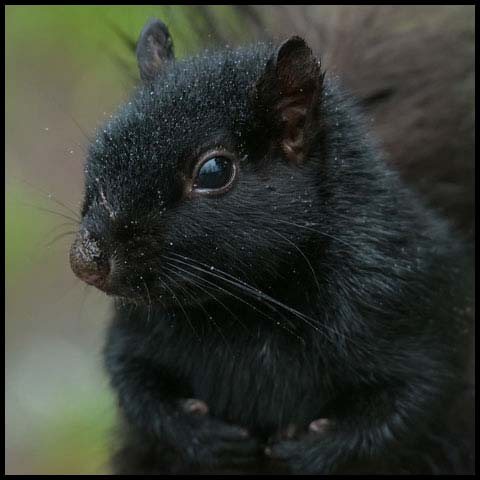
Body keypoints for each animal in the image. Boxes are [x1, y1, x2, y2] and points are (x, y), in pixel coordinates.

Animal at [69, 16, 474, 474]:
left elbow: (414, 400)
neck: (250, 305)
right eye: (101, 145)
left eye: (214, 171)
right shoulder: (136, 328)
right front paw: (202, 436)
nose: (86, 260)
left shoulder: (408, 302)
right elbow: (132, 378)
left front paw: (306, 453)